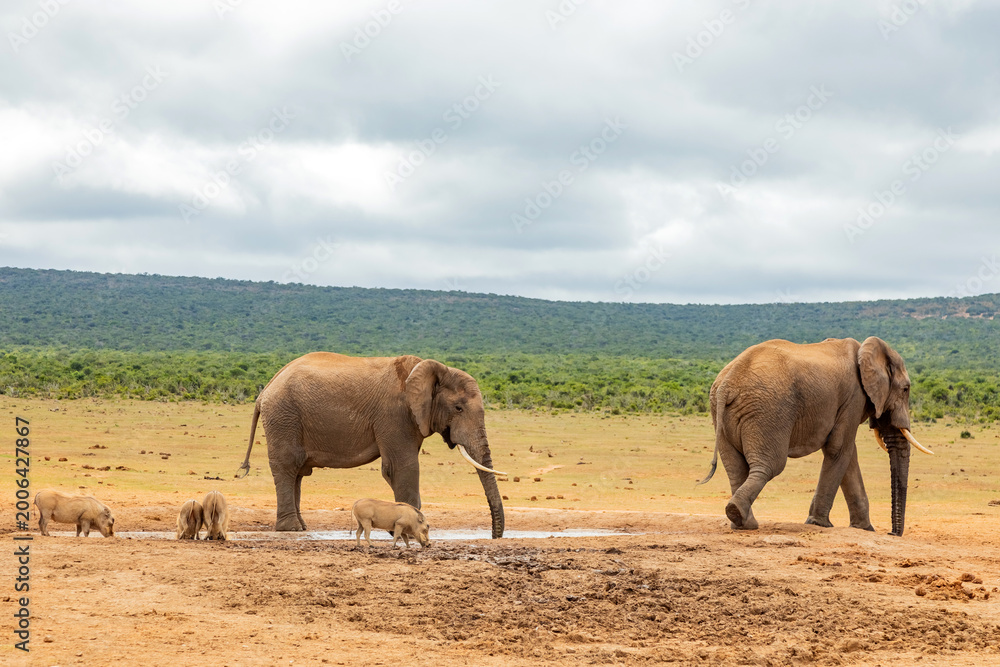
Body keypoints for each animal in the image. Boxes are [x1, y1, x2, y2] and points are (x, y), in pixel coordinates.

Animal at [238, 352, 506, 537]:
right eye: (458, 408)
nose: (495, 536)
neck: (429, 369)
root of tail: (265, 390)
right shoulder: (395, 415)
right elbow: (401, 467)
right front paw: (410, 530)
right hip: (284, 416)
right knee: (288, 466)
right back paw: (291, 529)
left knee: (298, 474)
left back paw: (301, 528)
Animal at [698, 337, 932, 536]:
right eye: (905, 389)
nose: (892, 533)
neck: (866, 351)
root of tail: (727, 383)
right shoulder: (854, 396)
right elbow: (839, 449)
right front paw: (819, 524)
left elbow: (848, 455)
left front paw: (865, 529)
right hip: (768, 411)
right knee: (770, 465)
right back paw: (740, 516)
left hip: (722, 414)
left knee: (736, 468)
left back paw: (742, 522)